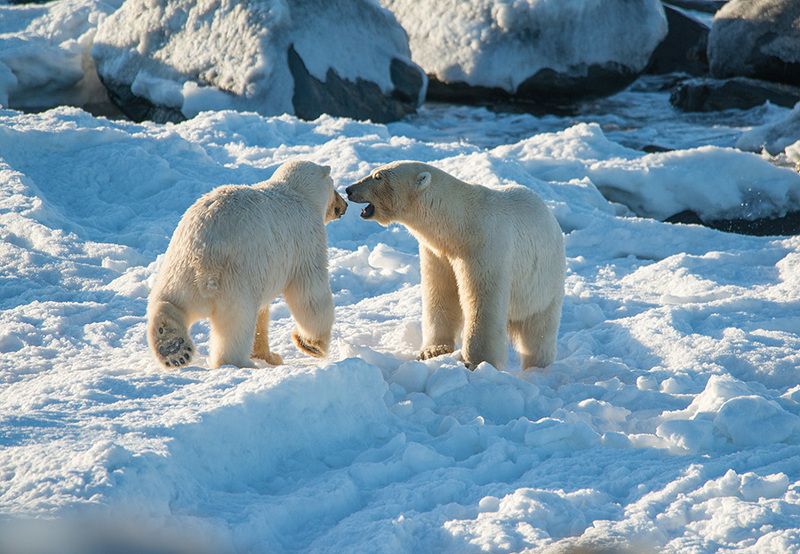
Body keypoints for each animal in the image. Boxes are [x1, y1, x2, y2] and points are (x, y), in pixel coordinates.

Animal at [147, 159, 347, 369]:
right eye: (334, 186)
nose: (344, 204)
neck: (297, 193)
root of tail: (203, 256)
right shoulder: (306, 239)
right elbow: (310, 292)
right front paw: (313, 345)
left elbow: (263, 312)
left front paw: (270, 356)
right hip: (237, 280)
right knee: (236, 325)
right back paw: (240, 363)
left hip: (180, 267)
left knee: (170, 301)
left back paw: (173, 348)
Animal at [346, 160, 565, 370]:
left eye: (378, 176)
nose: (349, 189)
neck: (461, 225)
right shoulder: (438, 253)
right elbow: (440, 293)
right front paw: (433, 351)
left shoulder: (485, 249)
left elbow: (483, 302)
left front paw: (474, 361)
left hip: (544, 283)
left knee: (538, 329)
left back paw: (537, 366)